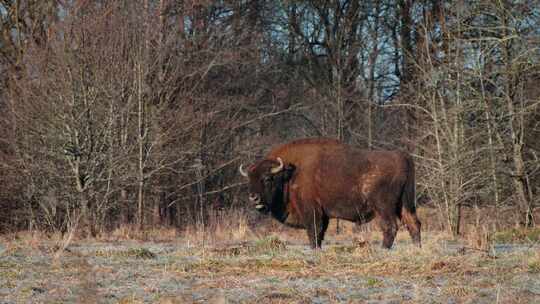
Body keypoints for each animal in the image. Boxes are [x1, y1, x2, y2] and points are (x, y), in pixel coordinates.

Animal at [240, 138, 422, 249]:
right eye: (249, 179)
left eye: (267, 178)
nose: (253, 197)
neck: (290, 174)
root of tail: (402, 156)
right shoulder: (323, 213)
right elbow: (320, 234)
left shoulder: (311, 211)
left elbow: (314, 232)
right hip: (404, 204)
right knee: (413, 224)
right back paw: (417, 248)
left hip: (384, 207)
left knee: (390, 226)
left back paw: (384, 249)